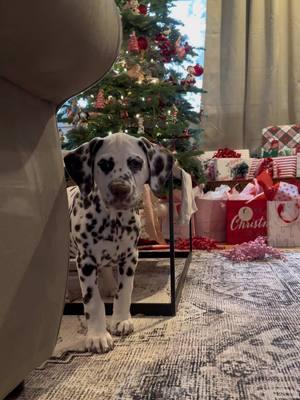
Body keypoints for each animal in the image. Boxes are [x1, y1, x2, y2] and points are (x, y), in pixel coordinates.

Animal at [64, 133, 172, 352]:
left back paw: (110, 286)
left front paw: (121, 320)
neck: (113, 220)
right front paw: (97, 336)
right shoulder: (85, 262)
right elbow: (93, 302)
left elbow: (125, 292)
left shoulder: (130, 257)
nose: (120, 189)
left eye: (136, 163)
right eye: (104, 164)